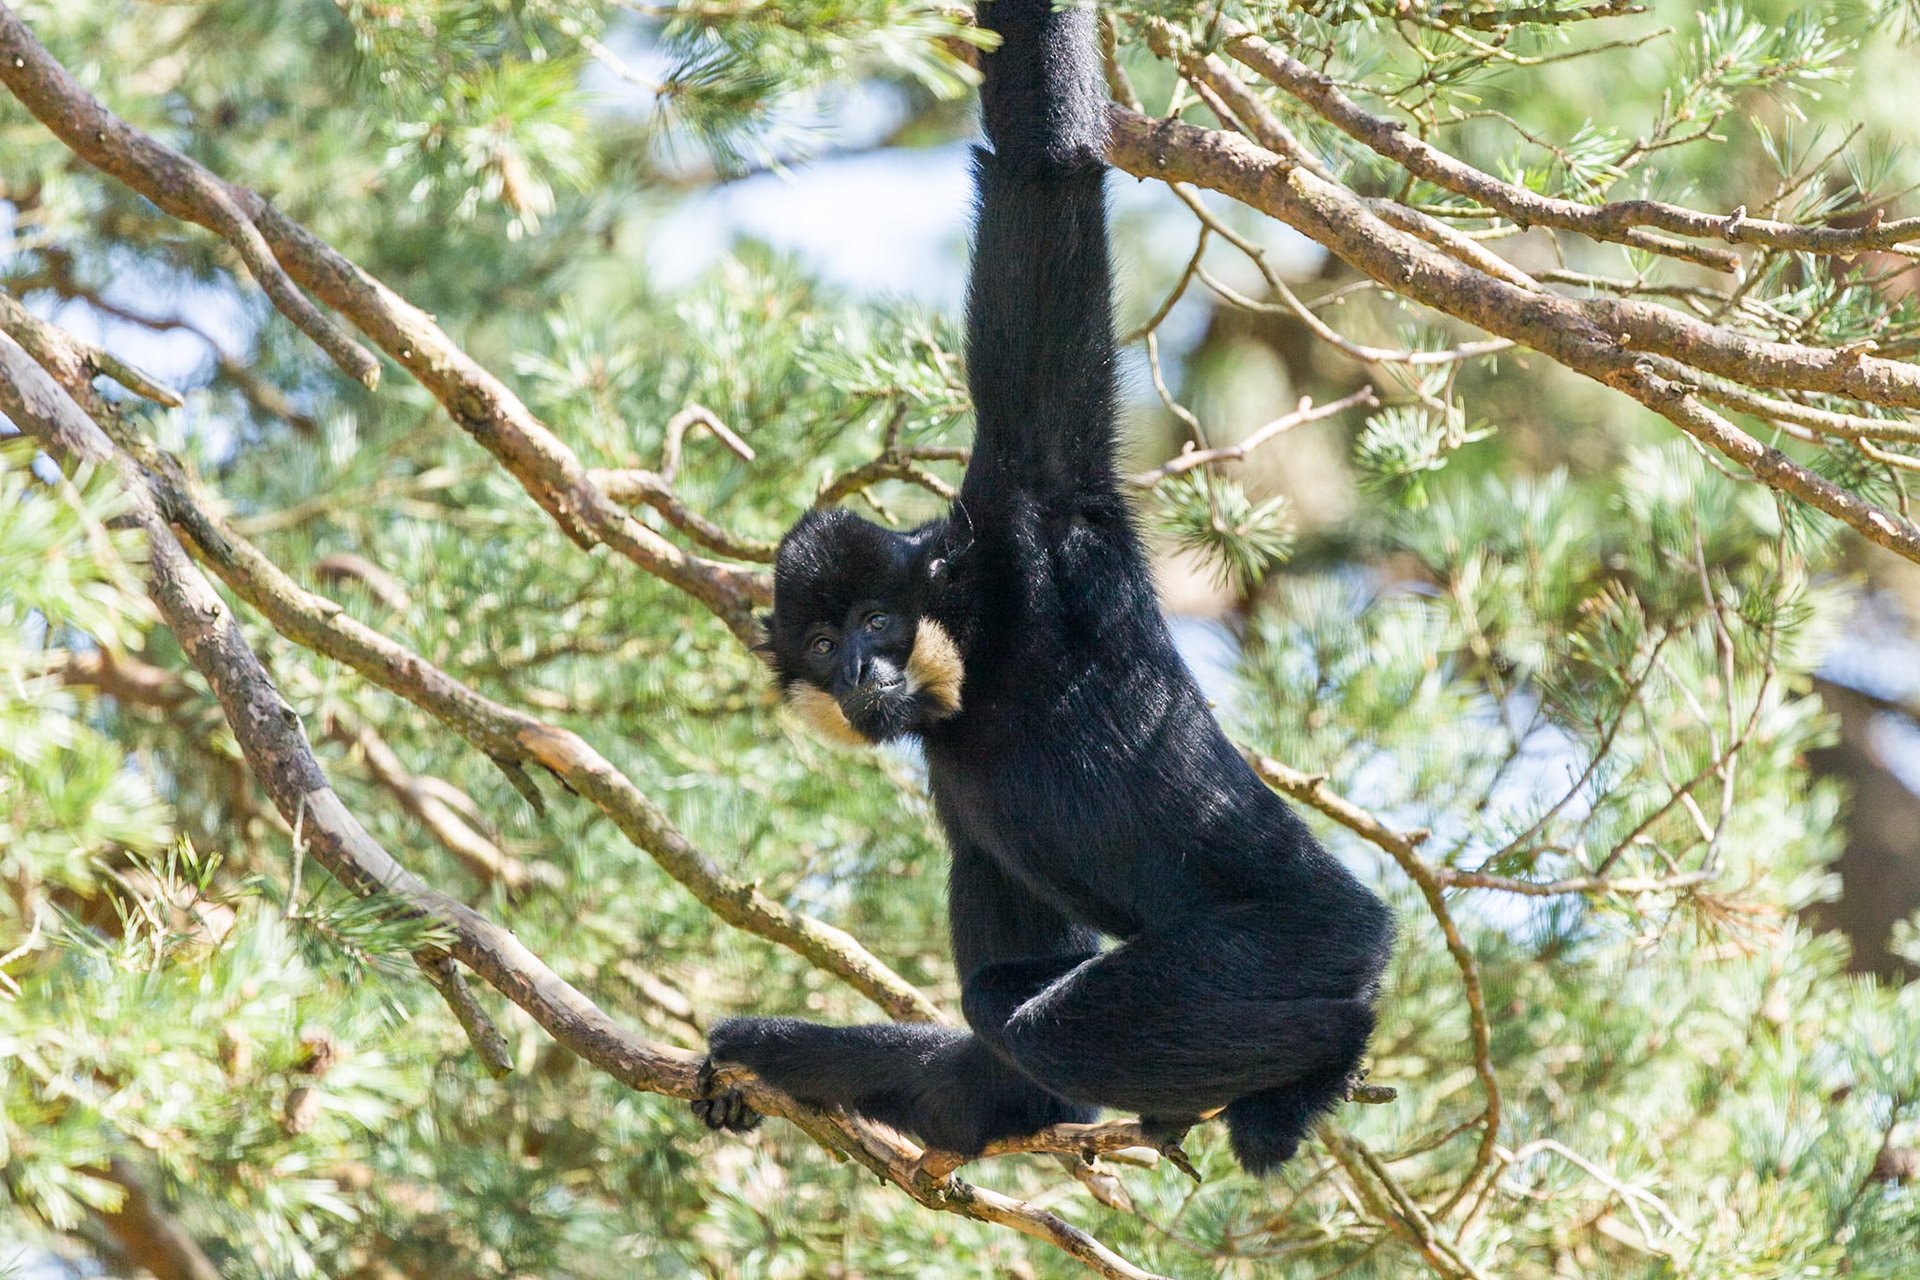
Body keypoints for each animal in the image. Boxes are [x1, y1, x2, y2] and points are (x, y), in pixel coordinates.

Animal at [689, 0, 1395, 1175]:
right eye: (827, 643)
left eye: (878, 620)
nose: (864, 669)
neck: (979, 653)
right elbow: (990, 1096)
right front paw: (764, 1052)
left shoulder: (1035, 517)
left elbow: (1042, 164)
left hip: (1308, 938)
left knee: (1038, 1014)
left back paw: (1308, 1071)